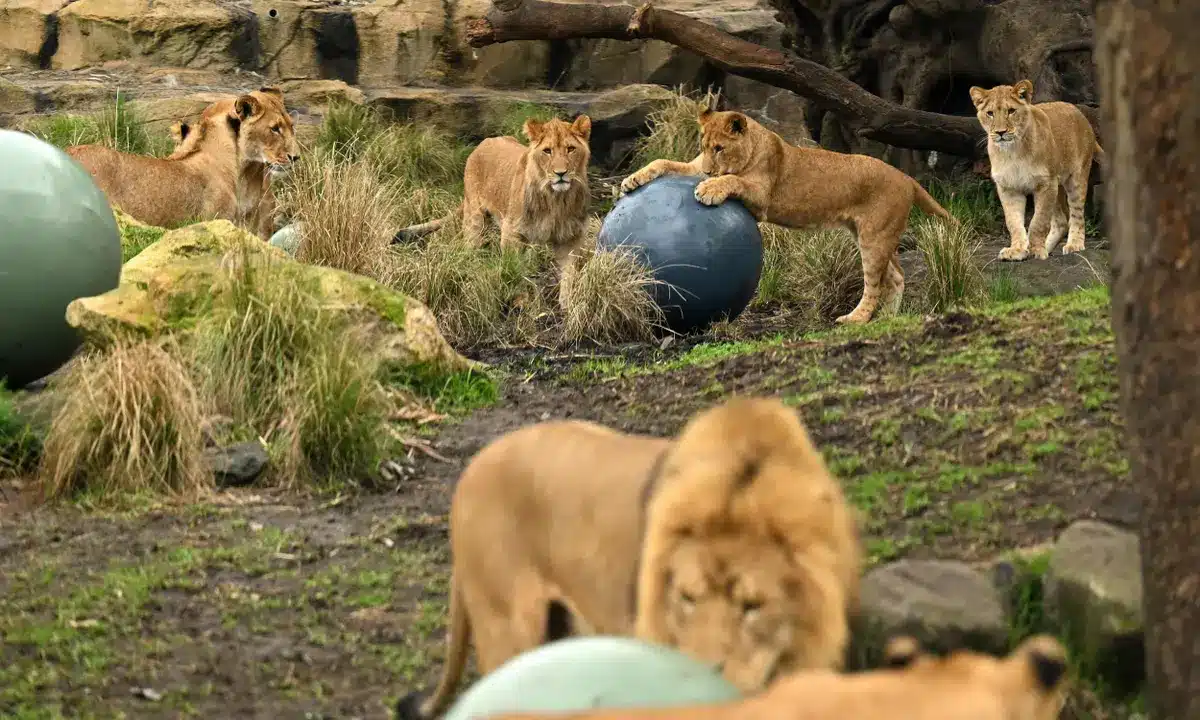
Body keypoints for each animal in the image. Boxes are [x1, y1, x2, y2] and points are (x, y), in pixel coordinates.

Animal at [391, 115, 593, 303]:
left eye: (570, 149)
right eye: (547, 151)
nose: (561, 173)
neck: (555, 199)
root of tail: (484, 142)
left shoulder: (571, 237)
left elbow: (569, 275)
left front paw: (568, 304)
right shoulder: (511, 233)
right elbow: (513, 270)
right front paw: (519, 299)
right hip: (474, 218)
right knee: (470, 246)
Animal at [619, 108, 956, 325]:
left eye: (719, 148)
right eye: (704, 146)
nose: (707, 172)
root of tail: (906, 178)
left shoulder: (760, 198)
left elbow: (734, 180)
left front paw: (710, 189)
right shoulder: (693, 166)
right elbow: (664, 161)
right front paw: (632, 180)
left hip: (874, 237)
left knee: (874, 284)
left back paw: (856, 319)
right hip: (874, 235)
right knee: (896, 275)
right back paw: (887, 318)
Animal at [969, 80, 1102, 262]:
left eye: (1011, 111)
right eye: (990, 113)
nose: (1001, 132)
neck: (1013, 152)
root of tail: (1081, 114)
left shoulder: (1045, 184)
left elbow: (1038, 222)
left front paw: (1037, 250)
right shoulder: (1008, 188)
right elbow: (1014, 222)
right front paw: (1018, 250)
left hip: (1075, 178)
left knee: (1077, 215)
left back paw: (1074, 244)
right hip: (1057, 187)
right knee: (1061, 221)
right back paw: (1047, 246)